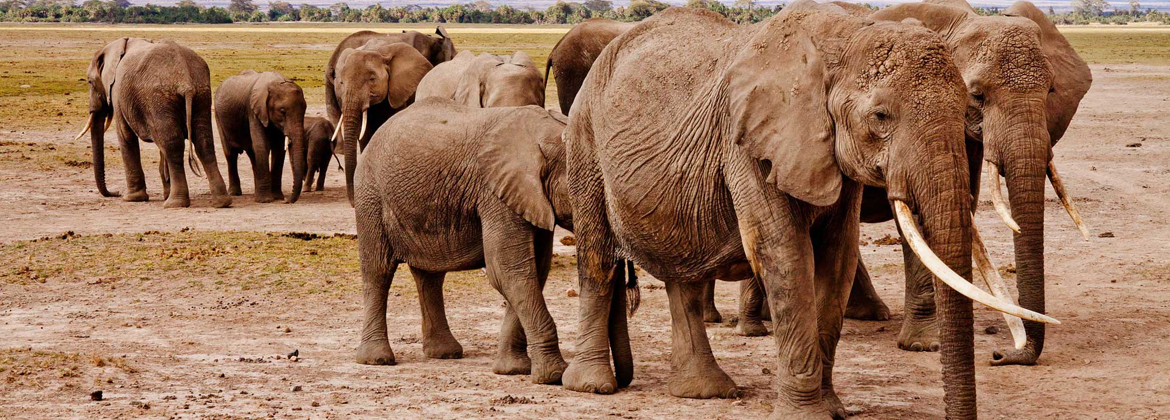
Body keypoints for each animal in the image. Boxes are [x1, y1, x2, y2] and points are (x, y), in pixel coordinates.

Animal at [74, 37, 230, 208]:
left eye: (90, 82)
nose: (116, 193)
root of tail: (186, 81)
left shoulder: (118, 93)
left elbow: (125, 135)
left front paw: (132, 198)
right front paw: (164, 193)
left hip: (159, 98)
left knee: (173, 146)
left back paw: (174, 203)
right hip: (201, 94)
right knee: (203, 142)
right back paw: (221, 202)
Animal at [214, 70, 308, 204]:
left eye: (304, 111)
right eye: (282, 111)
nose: (287, 201)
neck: (275, 82)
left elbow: (279, 150)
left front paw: (276, 197)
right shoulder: (254, 111)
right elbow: (261, 145)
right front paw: (265, 200)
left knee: (252, 154)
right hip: (218, 117)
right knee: (230, 154)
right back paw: (235, 193)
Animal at [352, 98, 583, 384]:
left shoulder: (530, 198)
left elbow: (533, 271)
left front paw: (512, 370)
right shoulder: (496, 194)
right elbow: (509, 270)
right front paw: (553, 376)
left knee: (430, 276)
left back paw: (444, 353)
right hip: (370, 194)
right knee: (378, 270)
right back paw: (377, 359)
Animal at [562, 6, 1056, 419]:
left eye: (965, 106)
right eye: (880, 117)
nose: (999, 356)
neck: (842, 38)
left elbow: (837, 258)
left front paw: (834, 408)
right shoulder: (748, 144)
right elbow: (785, 255)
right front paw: (809, 415)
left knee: (682, 275)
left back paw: (703, 392)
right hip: (584, 141)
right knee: (598, 258)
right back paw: (592, 385)